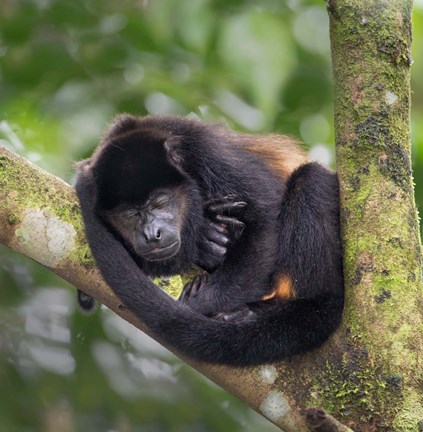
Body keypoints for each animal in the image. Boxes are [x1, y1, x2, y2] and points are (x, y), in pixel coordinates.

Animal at [75, 114, 344, 364]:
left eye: (160, 203)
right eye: (129, 215)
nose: (152, 234)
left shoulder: (205, 150)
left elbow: (266, 216)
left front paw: (199, 305)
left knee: (310, 179)